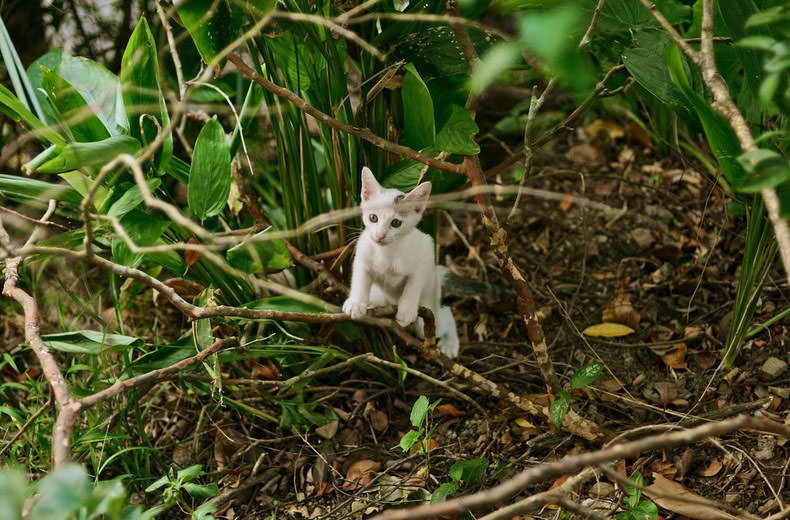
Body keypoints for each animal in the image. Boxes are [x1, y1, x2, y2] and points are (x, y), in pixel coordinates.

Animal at [342, 167, 464, 358]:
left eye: (396, 223)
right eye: (373, 218)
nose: (379, 236)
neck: (387, 252)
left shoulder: (426, 248)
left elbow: (414, 282)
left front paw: (407, 309)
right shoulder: (363, 252)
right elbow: (360, 276)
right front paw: (356, 302)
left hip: (430, 313)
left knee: (444, 315)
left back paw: (450, 343)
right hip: (380, 298)